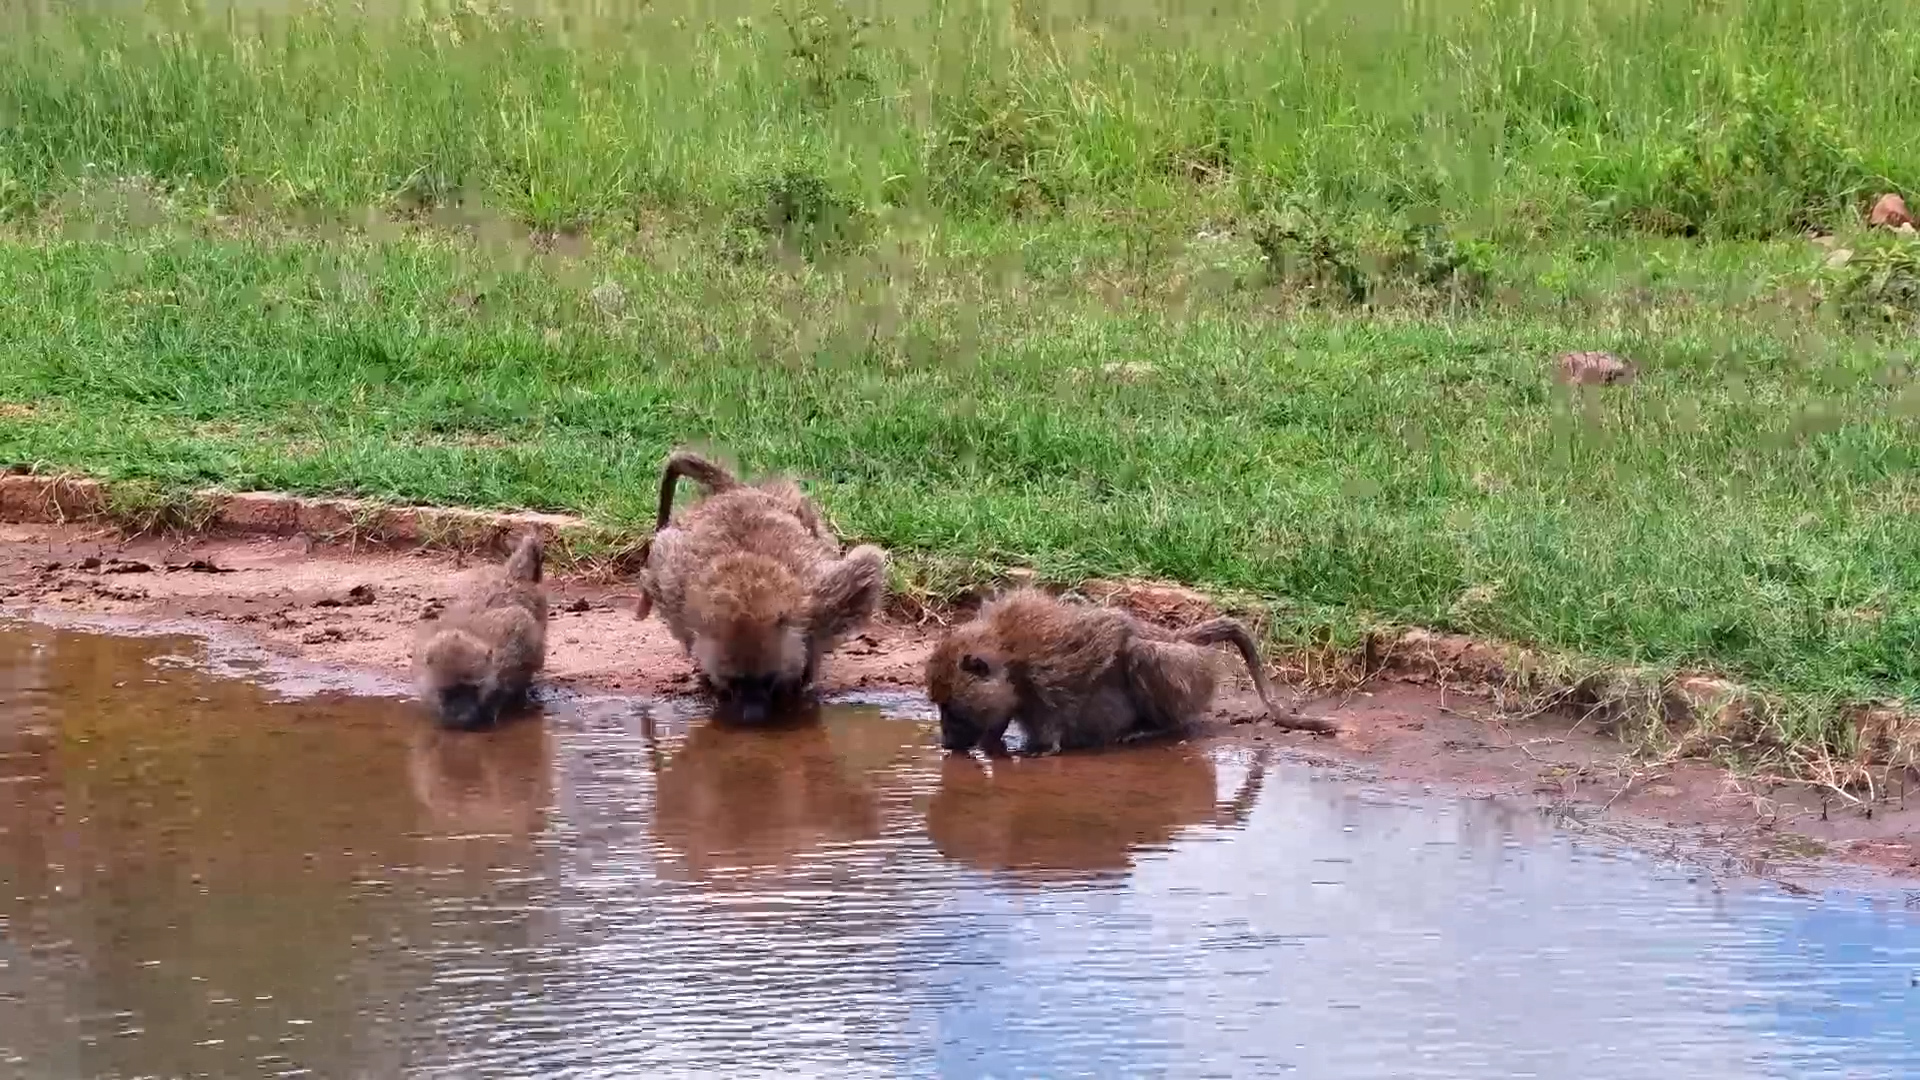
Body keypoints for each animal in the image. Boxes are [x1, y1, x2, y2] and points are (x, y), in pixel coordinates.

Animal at [637, 449, 887, 723]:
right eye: (734, 681)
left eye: (768, 680)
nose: (753, 716)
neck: (747, 584)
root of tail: (735, 491)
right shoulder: (677, 589)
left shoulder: (818, 600)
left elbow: (866, 564)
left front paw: (800, 682)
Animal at [925, 587, 1336, 755]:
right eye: (942, 708)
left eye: (952, 710)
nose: (946, 742)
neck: (1008, 655)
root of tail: (1180, 636)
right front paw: (991, 744)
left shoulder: (1053, 664)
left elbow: (1116, 633)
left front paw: (1044, 748)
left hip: (1190, 672)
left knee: (1141, 653)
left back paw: (1152, 729)